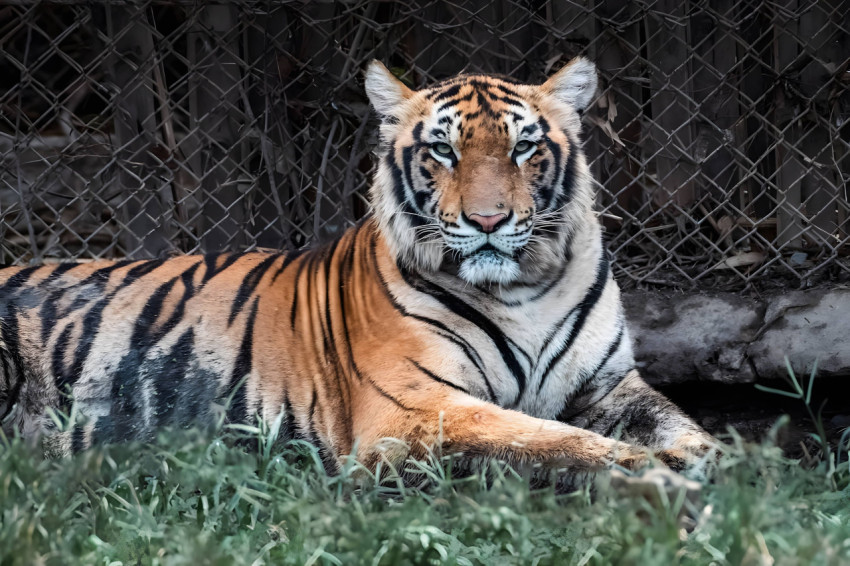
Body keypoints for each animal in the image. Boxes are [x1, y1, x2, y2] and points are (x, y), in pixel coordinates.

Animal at [0, 57, 716, 478]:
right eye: (443, 151)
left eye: (523, 148)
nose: (488, 221)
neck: (523, 289)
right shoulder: (413, 408)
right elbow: (543, 438)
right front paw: (650, 470)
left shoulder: (608, 386)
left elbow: (677, 421)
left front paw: (717, 460)